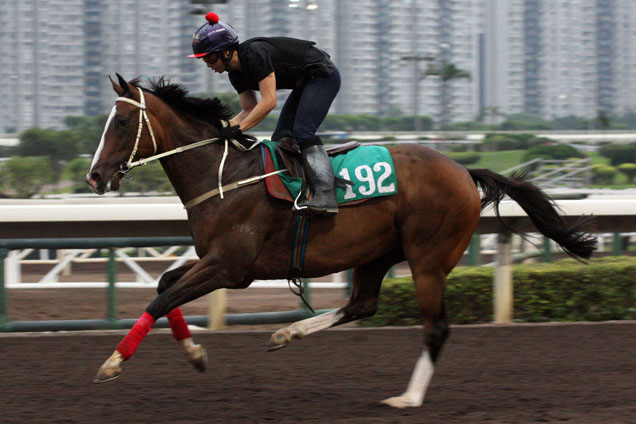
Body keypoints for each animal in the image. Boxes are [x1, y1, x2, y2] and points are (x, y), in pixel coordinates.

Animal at [85, 74, 596, 410]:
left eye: (122, 123)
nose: (94, 176)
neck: (224, 176)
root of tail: (463, 170)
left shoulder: (230, 266)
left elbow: (160, 297)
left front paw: (112, 363)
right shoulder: (214, 259)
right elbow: (164, 286)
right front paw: (194, 354)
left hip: (428, 259)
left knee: (435, 327)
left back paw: (408, 398)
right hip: (377, 253)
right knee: (362, 304)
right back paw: (286, 333)